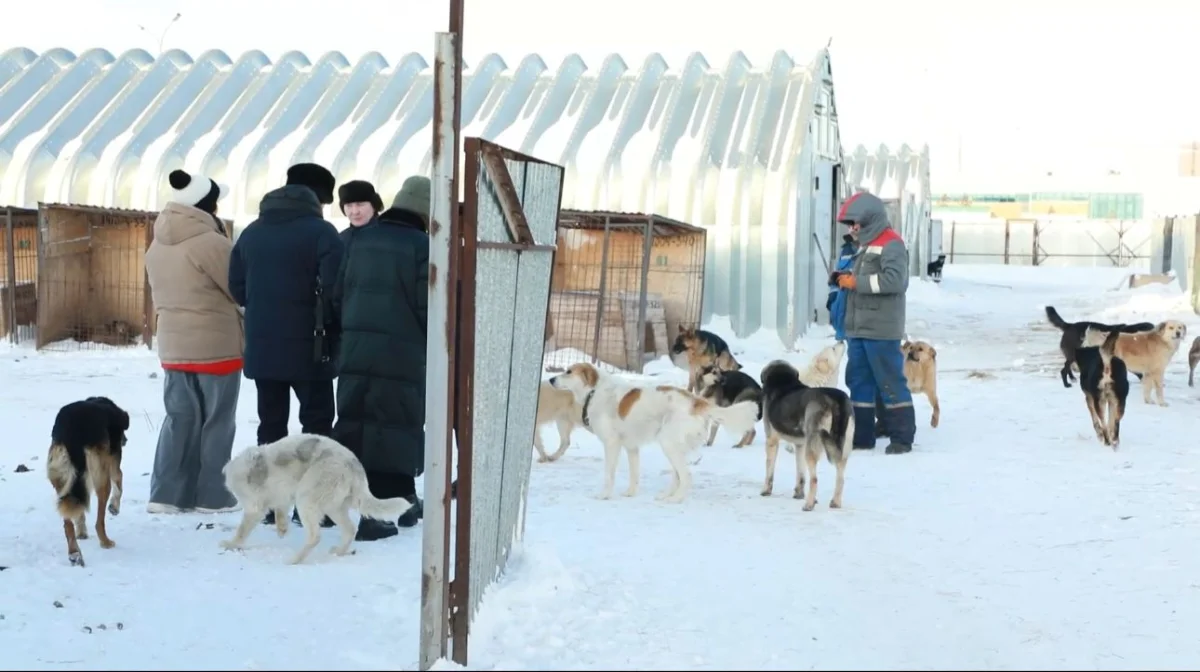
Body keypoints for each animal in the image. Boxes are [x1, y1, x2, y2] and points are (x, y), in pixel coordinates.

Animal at [46, 396, 128, 568]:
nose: (125, 440)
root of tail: (72, 434)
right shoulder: (113, 458)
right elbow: (119, 478)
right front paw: (114, 507)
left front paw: (82, 532)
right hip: (101, 475)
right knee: (99, 521)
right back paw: (105, 541)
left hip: (60, 474)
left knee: (67, 520)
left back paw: (74, 553)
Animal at [219, 432, 412, 564]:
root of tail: (353, 465)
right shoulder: (282, 497)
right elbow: (280, 511)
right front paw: (282, 529)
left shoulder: (254, 507)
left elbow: (242, 530)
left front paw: (231, 544)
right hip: (335, 507)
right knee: (350, 529)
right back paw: (338, 552)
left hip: (306, 499)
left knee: (315, 537)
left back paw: (295, 559)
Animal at [549, 362, 753, 504]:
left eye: (568, 371)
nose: (550, 380)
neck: (594, 391)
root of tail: (696, 402)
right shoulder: (631, 447)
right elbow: (634, 474)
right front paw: (630, 493)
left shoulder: (611, 444)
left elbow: (609, 474)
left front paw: (604, 495)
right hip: (675, 447)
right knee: (677, 476)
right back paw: (667, 495)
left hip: (668, 443)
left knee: (686, 476)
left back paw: (676, 499)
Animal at [758, 362, 854, 508]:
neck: (784, 381)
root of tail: (834, 400)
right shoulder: (800, 445)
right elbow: (801, 474)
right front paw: (799, 493)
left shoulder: (771, 440)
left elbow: (769, 470)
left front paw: (765, 491)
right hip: (842, 448)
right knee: (840, 478)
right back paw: (835, 502)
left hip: (812, 447)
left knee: (814, 479)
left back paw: (809, 505)